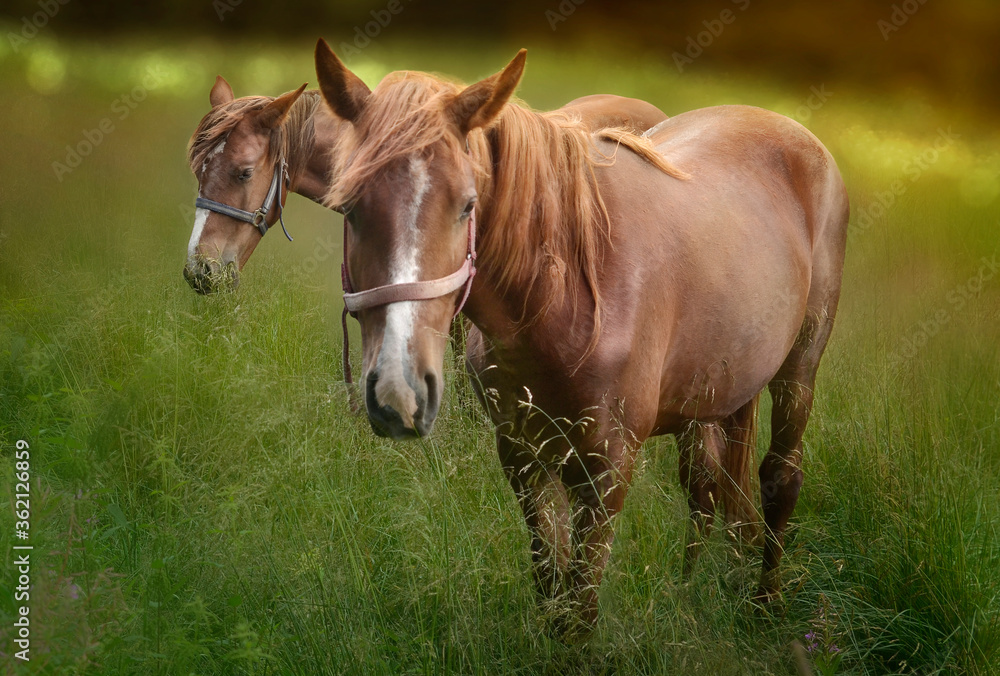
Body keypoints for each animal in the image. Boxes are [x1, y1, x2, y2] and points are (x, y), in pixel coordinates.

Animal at [313, 38, 849, 638]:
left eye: (468, 205)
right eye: (349, 207)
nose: (398, 391)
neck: (566, 295)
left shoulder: (606, 471)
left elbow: (581, 609)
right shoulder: (524, 458)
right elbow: (553, 590)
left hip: (799, 369)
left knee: (779, 476)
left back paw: (764, 605)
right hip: (716, 392)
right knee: (707, 484)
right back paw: (691, 589)